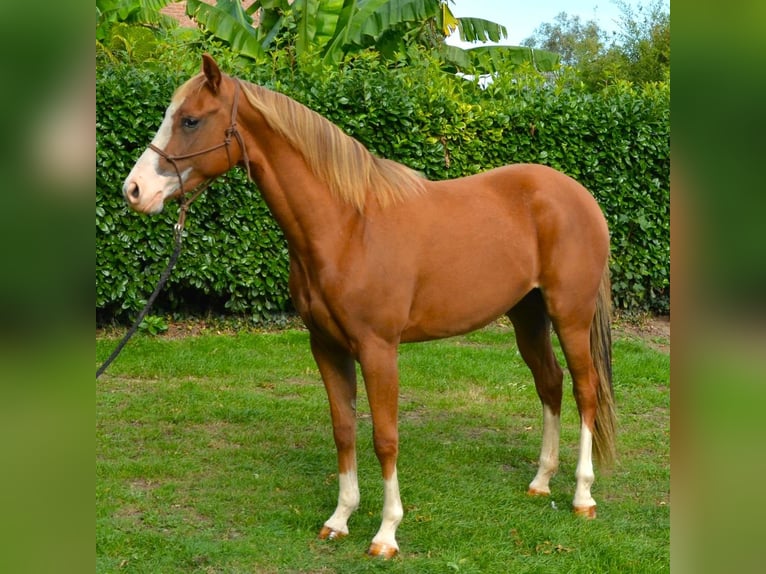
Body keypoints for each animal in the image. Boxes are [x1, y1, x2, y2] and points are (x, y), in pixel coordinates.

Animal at [122, 54, 616, 559]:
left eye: (190, 120)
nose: (134, 190)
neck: (347, 226)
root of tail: (579, 196)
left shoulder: (379, 350)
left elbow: (385, 437)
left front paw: (386, 534)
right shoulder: (327, 347)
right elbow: (344, 430)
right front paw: (340, 519)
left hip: (569, 316)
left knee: (585, 390)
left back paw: (582, 496)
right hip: (528, 315)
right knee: (550, 383)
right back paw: (541, 481)